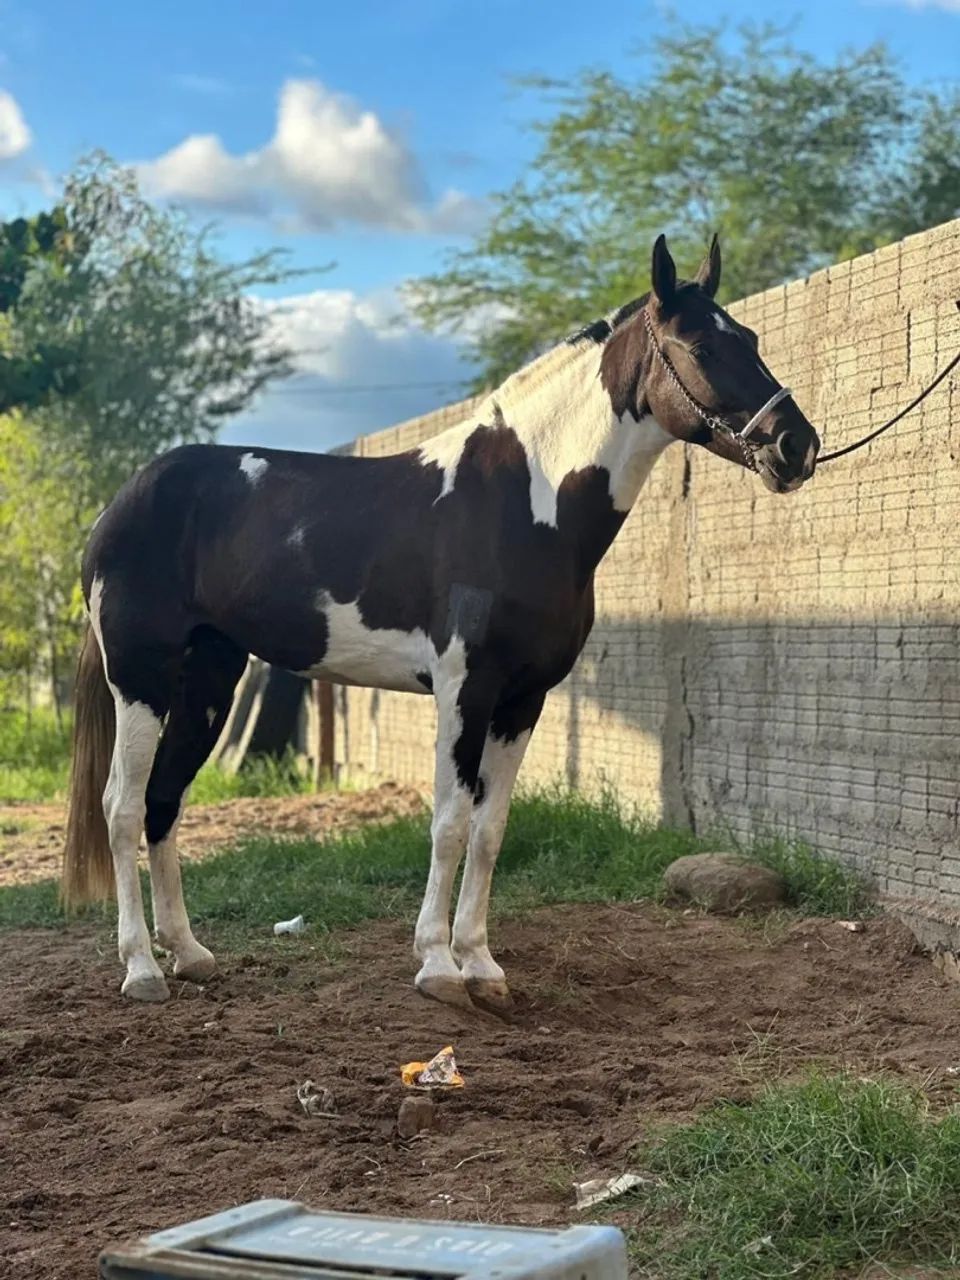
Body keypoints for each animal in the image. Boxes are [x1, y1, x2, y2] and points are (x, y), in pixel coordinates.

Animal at [62, 234, 819, 1011]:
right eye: (700, 347)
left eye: (752, 339)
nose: (796, 447)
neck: (525, 505)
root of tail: (120, 504)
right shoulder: (465, 690)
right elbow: (450, 823)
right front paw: (436, 965)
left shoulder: (523, 700)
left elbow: (489, 831)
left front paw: (480, 963)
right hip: (141, 681)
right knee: (122, 807)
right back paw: (141, 969)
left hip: (209, 682)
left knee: (163, 800)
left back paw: (187, 953)